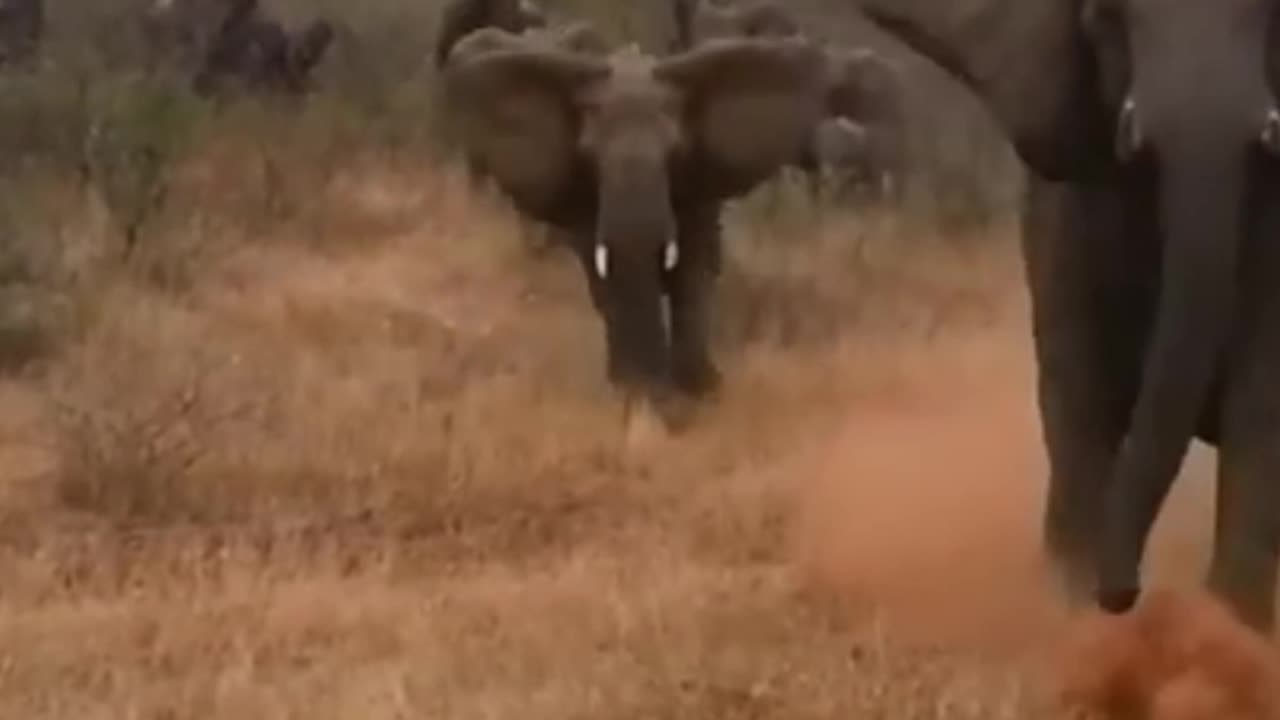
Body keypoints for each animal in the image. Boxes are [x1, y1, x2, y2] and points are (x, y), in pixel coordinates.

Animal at [440, 26, 824, 404]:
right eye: (589, 156)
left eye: (676, 153)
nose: (654, 390)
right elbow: (605, 276)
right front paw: (635, 391)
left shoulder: (698, 183)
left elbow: (694, 271)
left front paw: (699, 392)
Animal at [860, 0, 1280, 627]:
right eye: (1106, 17)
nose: (1126, 594)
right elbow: (1079, 384)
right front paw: (1075, 615)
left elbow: (1261, 395)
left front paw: (1234, 623)